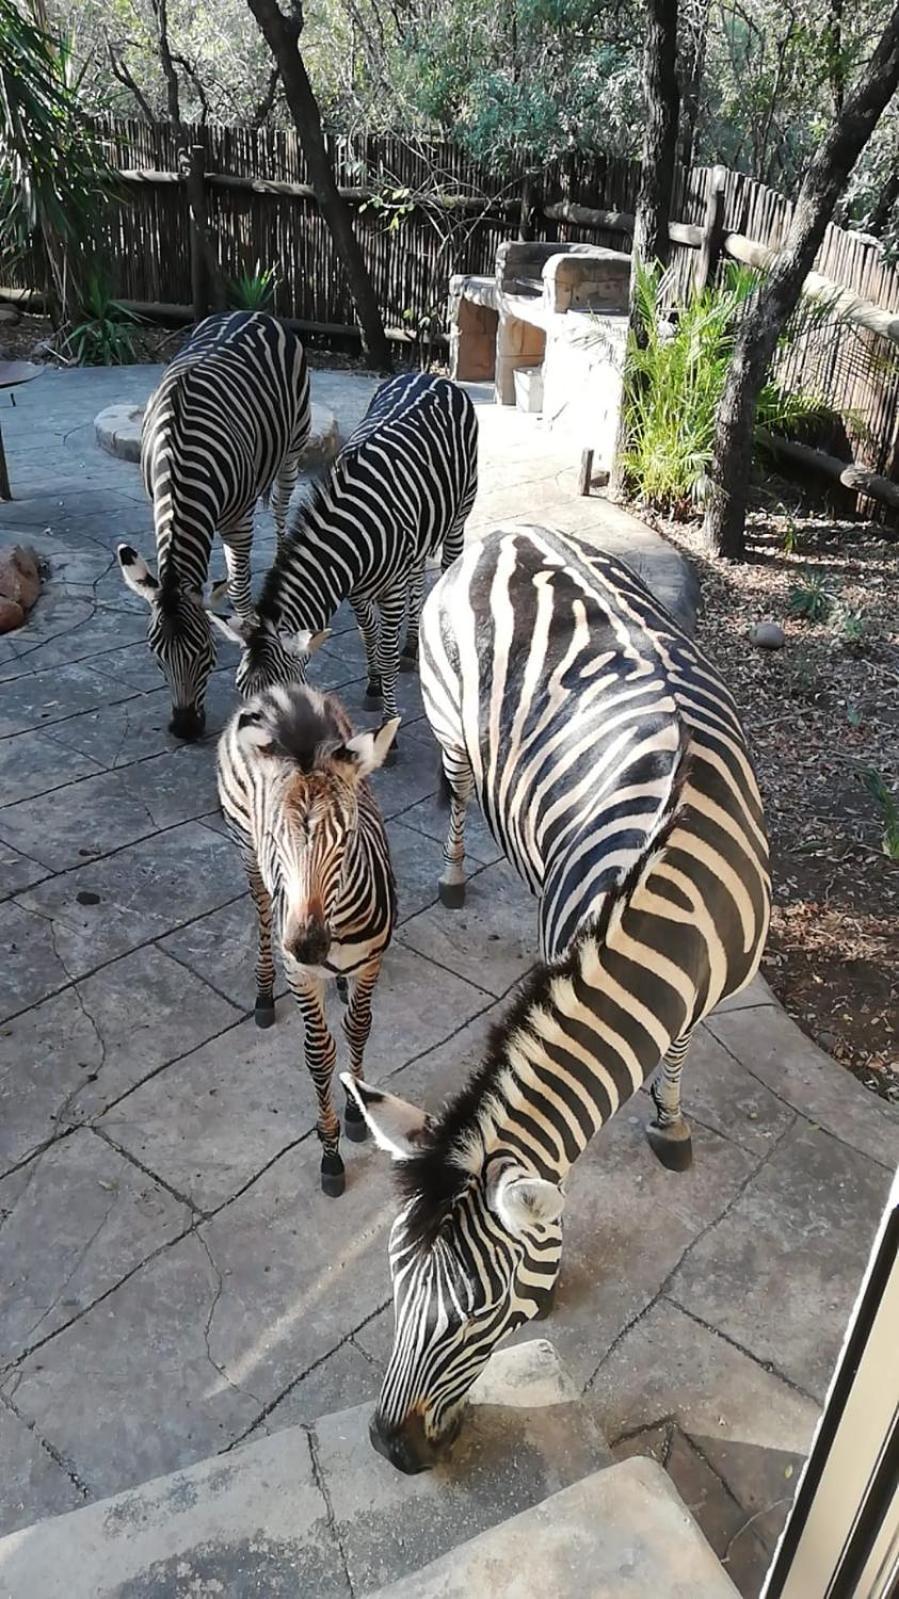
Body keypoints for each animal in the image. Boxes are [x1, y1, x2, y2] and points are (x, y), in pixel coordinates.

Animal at [117, 311, 310, 741]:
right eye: (156, 656)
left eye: (206, 653)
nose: (184, 729)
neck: (179, 460)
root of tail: (251, 313)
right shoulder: (158, 504)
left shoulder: (240, 519)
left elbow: (238, 588)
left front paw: (249, 641)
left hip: (293, 446)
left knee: (280, 506)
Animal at [207, 370, 479, 738]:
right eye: (241, 689)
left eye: (280, 693)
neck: (354, 533)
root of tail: (428, 375)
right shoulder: (357, 590)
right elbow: (368, 635)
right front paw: (374, 686)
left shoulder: (390, 588)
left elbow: (387, 653)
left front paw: (389, 726)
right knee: (418, 576)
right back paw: (411, 645)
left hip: (459, 515)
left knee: (445, 567)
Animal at [217, 677, 395, 1202]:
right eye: (277, 837)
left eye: (348, 838)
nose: (309, 946)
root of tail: (278, 688)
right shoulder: (300, 974)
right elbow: (319, 1054)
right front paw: (331, 1154)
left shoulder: (372, 961)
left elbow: (360, 1027)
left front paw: (357, 1110)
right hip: (247, 857)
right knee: (260, 916)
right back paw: (262, 993)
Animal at [339, 524, 767, 1471]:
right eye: (391, 1280)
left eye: (482, 1312)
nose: (387, 1447)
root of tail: (509, 530)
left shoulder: (707, 992)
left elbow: (677, 1056)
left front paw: (669, 1120)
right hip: (452, 725)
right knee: (460, 793)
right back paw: (456, 875)